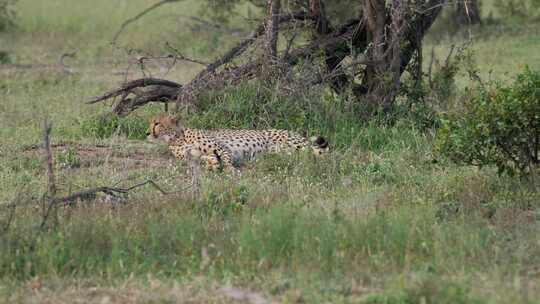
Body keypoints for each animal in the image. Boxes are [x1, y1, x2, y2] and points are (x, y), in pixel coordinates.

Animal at [146, 113, 330, 170]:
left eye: (157, 123)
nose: (147, 132)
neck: (177, 137)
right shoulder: (195, 154)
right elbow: (206, 158)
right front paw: (212, 164)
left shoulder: (222, 147)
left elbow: (226, 159)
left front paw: (231, 171)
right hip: (282, 152)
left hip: (295, 144)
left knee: (325, 154)